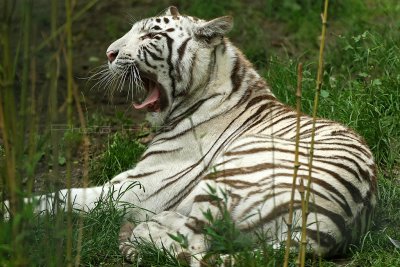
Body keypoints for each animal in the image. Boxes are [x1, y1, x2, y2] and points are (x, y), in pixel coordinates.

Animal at [3, 5, 378, 266]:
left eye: (151, 37)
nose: (109, 52)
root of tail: (329, 227)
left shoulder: (134, 189)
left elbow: (61, 197)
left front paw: (11, 211)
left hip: (229, 175)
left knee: (195, 246)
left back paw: (144, 230)